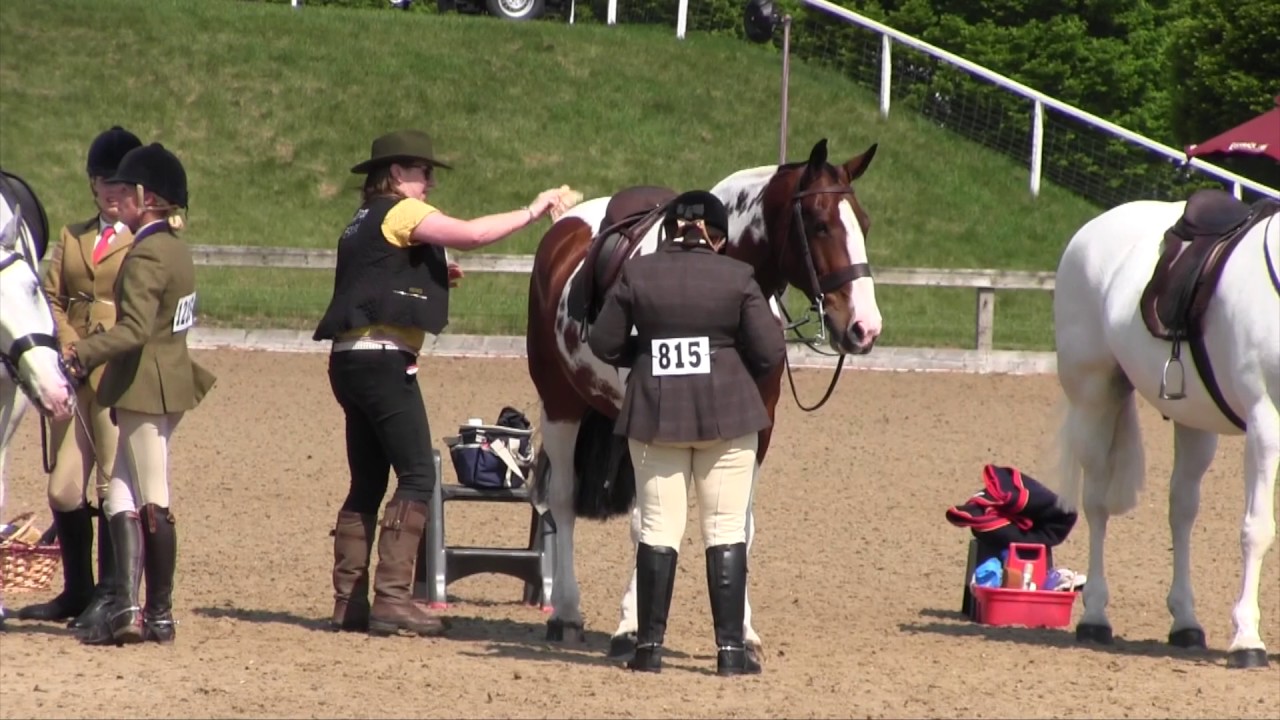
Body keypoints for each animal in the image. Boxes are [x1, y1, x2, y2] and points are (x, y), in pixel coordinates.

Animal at [525, 138, 883, 658]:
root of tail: (565, 227)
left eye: (865, 223)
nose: (864, 327)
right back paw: (567, 613)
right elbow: (649, 521)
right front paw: (631, 627)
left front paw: (746, 632)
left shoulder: (757, 426)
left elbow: (739, 523)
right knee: (564, 502)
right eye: (819, 223)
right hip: (561, 406)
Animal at [1052, 188, 1280, 669]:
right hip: (1094, 399)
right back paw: (1095, 617)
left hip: (1194, 423)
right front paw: (1247, 640)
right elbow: (1257, 529)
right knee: (1096, 504)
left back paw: (1185, 623)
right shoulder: (1265, 423)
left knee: (1181, 511)